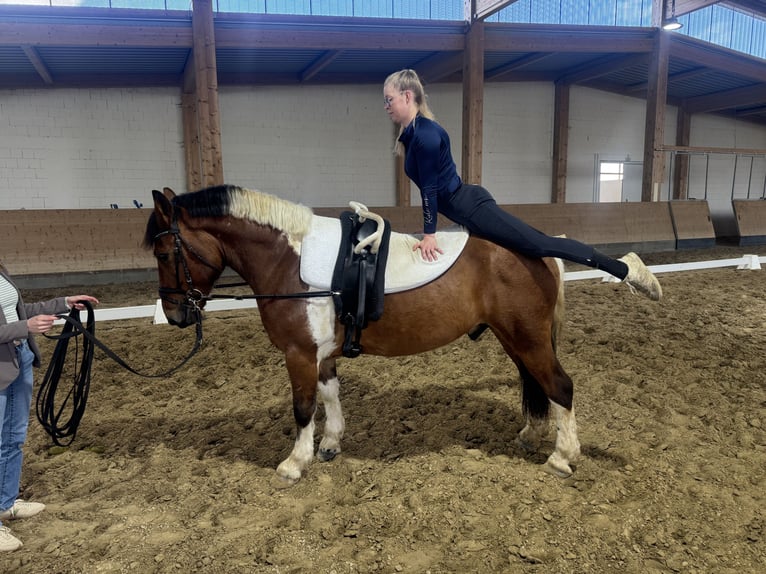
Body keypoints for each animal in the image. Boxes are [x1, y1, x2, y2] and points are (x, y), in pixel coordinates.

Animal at [144, 184, 580, 484]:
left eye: (164, 254)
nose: (174, 314)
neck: (290, 260)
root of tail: (541, 251)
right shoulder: (321, 354)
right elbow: (329, 395)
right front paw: (330, 444)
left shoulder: (298, 353)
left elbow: (303, 407)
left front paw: (294, 463)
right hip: (514, 339)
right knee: (535, 384)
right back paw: (531, 435)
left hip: (527, 339)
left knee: (560, 387)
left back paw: (562, 457)